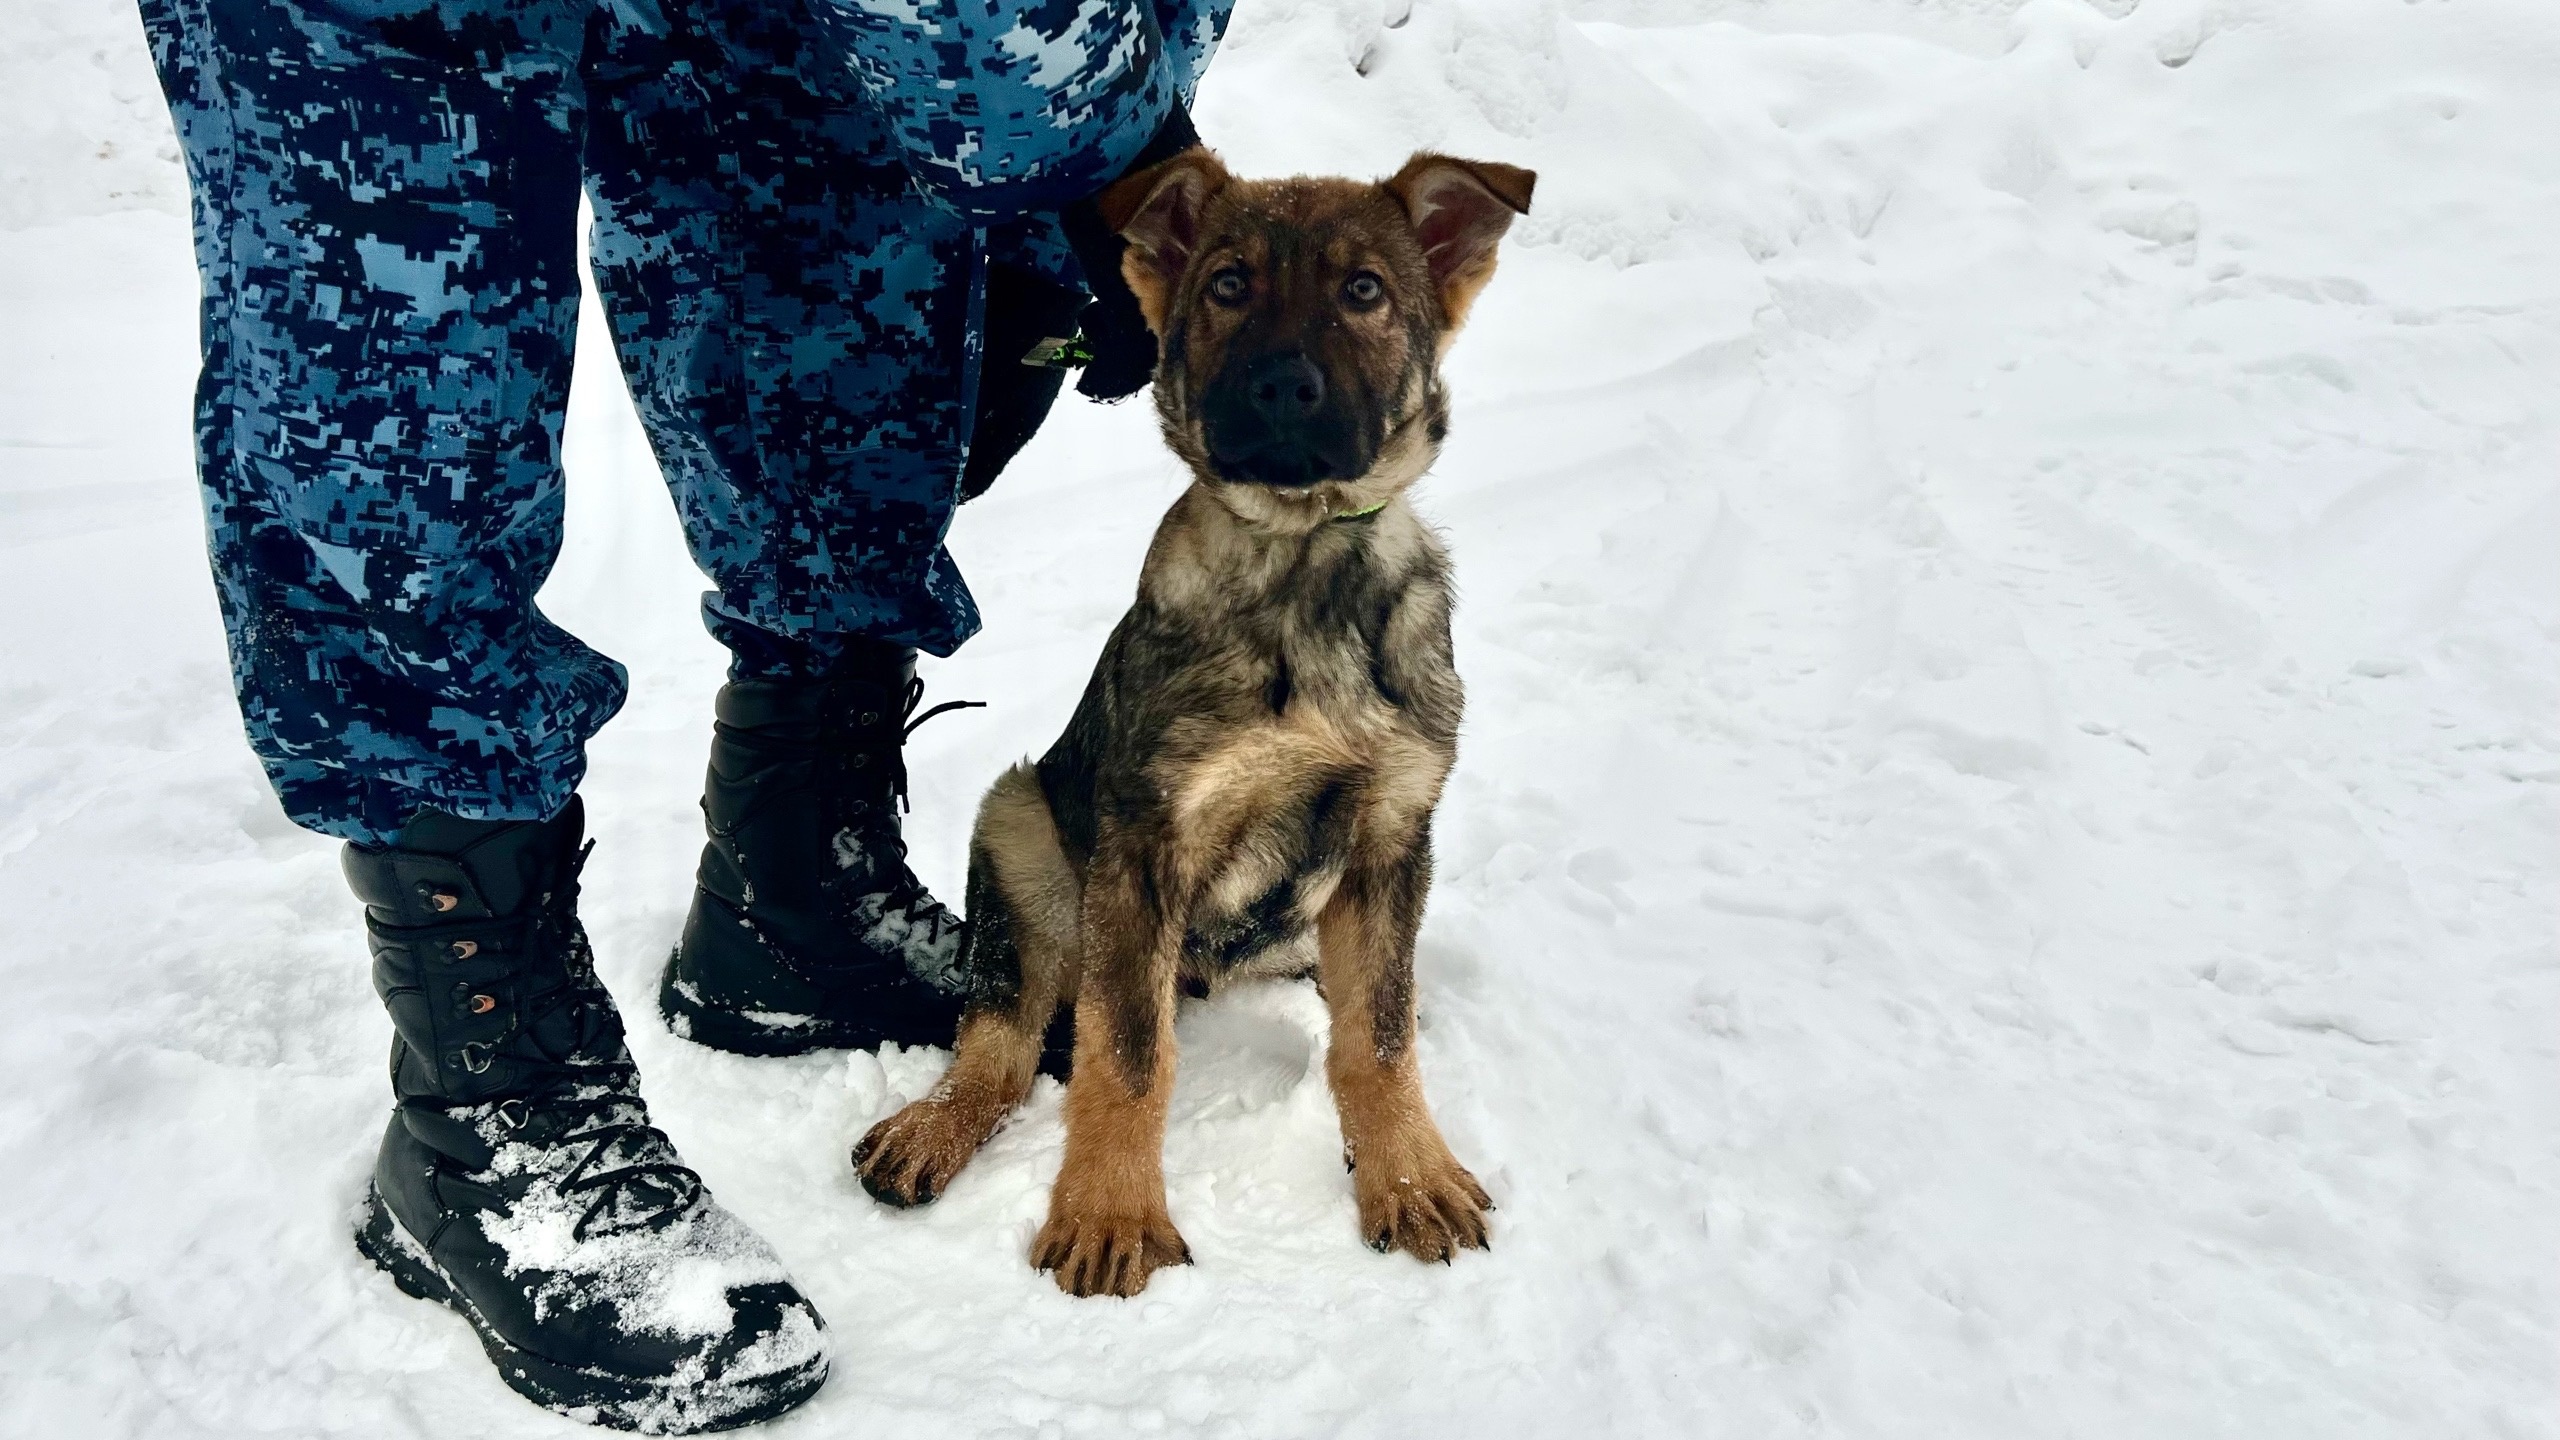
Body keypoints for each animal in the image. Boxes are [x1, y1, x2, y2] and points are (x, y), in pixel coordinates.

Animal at [860, 148, 1525, 1301]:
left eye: (1364, 290)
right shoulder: (1145, 841)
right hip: (1021, 823)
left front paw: (1408, 1177)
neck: (1303, 558)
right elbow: (1129, 1052)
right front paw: (1111, 1214)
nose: (1281, 389)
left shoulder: (1393, 833)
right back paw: (930, 1128)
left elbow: (1377, 1037)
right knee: (1002, 1035)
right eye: (1226, 285)